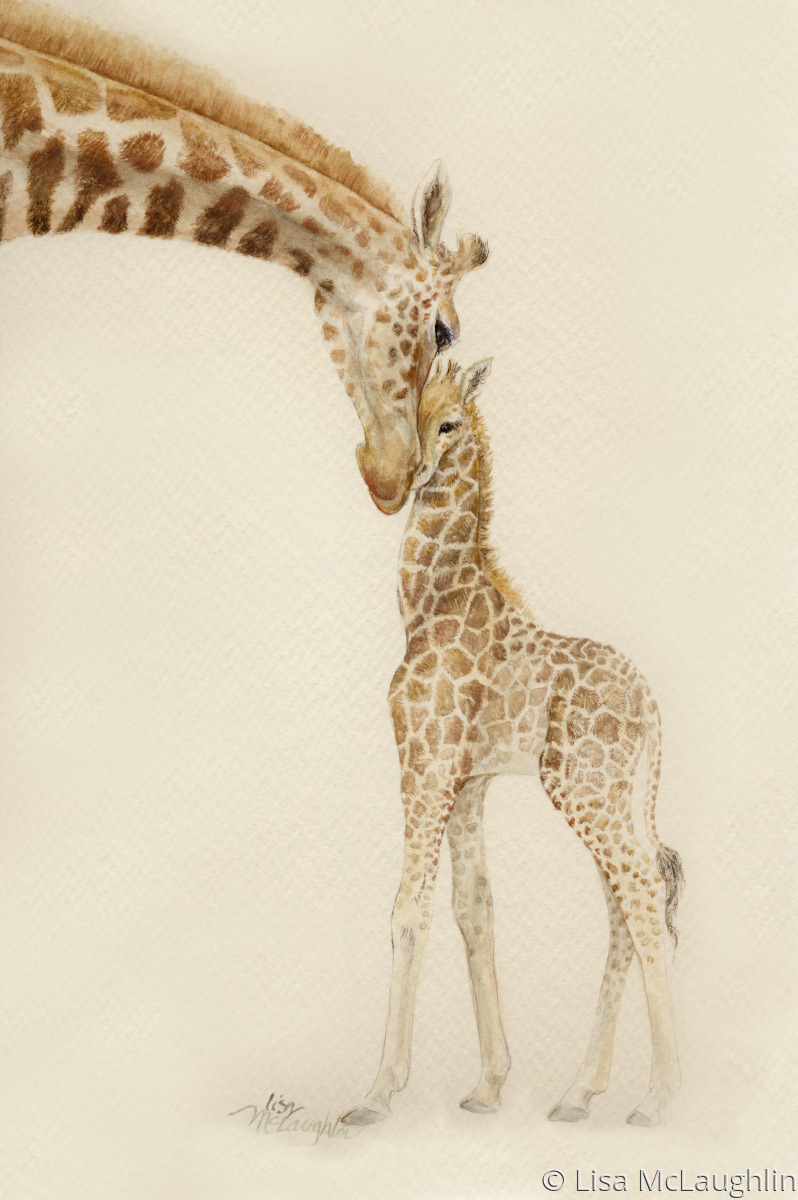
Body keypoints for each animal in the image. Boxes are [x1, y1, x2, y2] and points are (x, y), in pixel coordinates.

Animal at [342, 358, 685, 1129]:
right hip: (604, 792)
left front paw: (378, 1092)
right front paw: (490, 1084)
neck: (426, 607)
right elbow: (474, 908)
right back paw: (578, 1093)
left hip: (584, 788)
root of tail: (650, 703)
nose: (404, 475)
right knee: (626, 901)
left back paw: (658, 1099)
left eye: (449, 422)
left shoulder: (425, 761)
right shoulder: (468, 780)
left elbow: (408, 911)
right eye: (413, 410)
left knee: (645, 893)